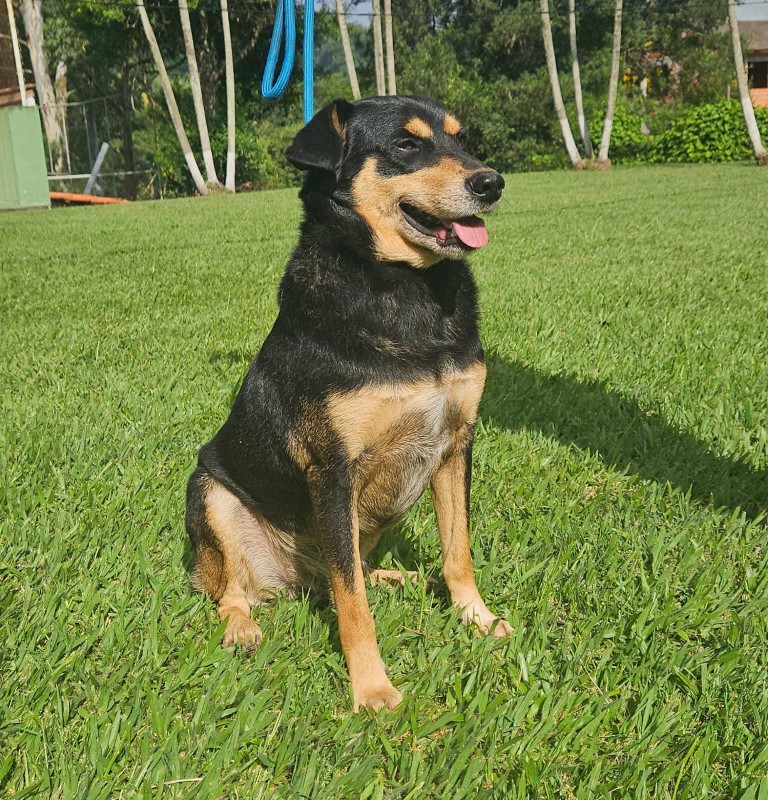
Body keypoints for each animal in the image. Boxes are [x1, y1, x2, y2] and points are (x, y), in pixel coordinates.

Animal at [184, 95, 512, 712]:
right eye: (406, 145)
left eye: (461, 140)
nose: (492, 182)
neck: (405, 287)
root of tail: (293, 579)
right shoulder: (333, 469)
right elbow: (353, 606)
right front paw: (372, 688)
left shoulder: (457, 443)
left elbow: (458, 552)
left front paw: (476, 619)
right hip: (211, 494)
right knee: (238, 591)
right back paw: (242, 628)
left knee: (350, 571)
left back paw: (401, 578)